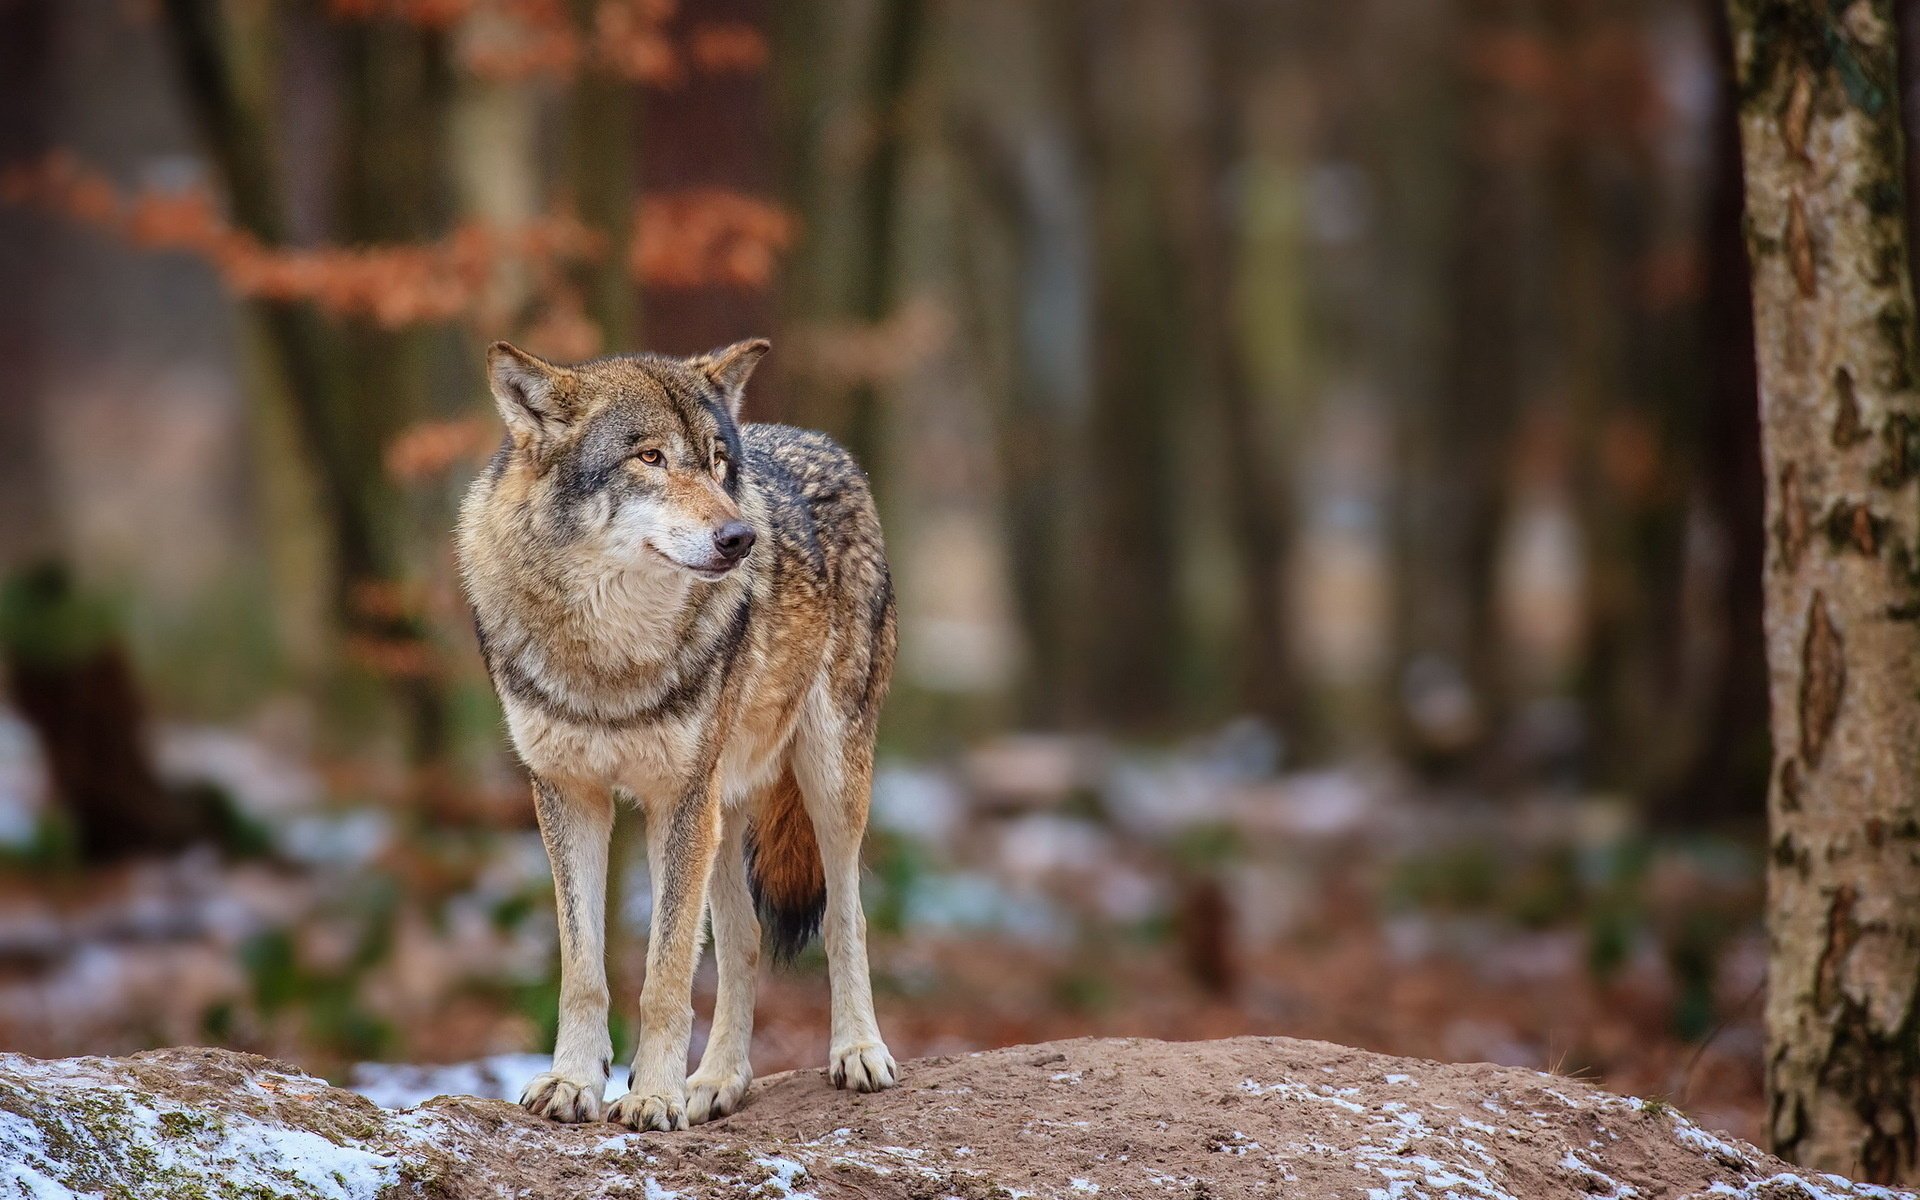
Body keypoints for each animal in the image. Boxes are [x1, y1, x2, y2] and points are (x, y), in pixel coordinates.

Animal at [455, 338, 898, 1131]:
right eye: (651, 458)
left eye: (719, 461)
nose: (741, 536)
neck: (610, 654)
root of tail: (821, 442)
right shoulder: (569, 796)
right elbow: (583, 970)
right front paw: (573, 1083)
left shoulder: (676, 801)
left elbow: (663, 977)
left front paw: (653, 1096)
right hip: (722, 810)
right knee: (744, 941)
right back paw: (718, 1081)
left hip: (823, 780)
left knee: (847, 919)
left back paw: (857, 1053)